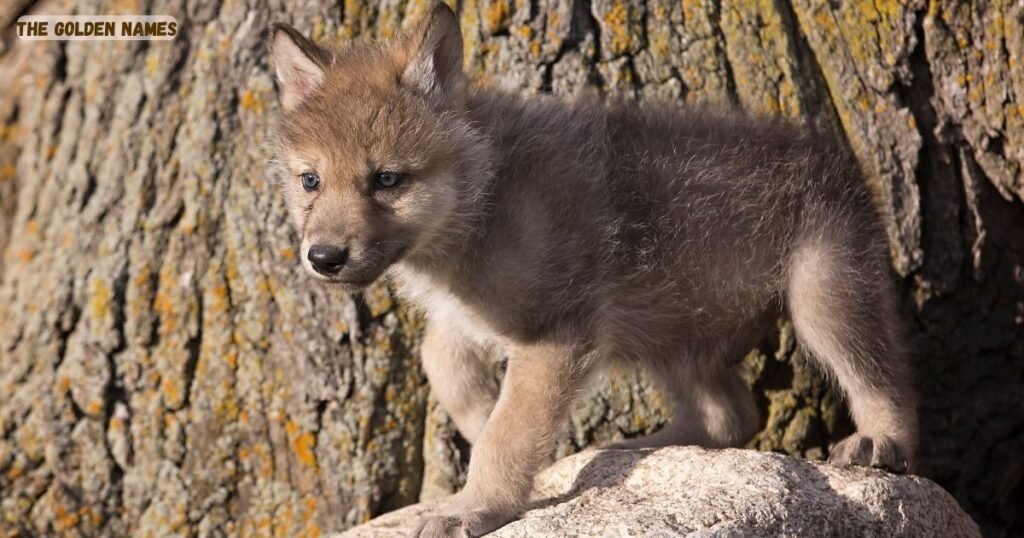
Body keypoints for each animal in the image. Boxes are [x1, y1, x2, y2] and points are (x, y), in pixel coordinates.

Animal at [266, 3, 918, 536]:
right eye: (310, 180)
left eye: (387, 179)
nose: (323, 258)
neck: (484, 196)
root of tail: (839, 160)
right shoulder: (469, 318)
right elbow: (444, 365)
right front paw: (484, 426)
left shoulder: (557, 333)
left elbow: (507, 434)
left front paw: (474, 506)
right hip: (667, 330)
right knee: (731, 416)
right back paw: (634, 450)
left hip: (825, 298)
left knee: (883, 382)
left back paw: (879, 441)